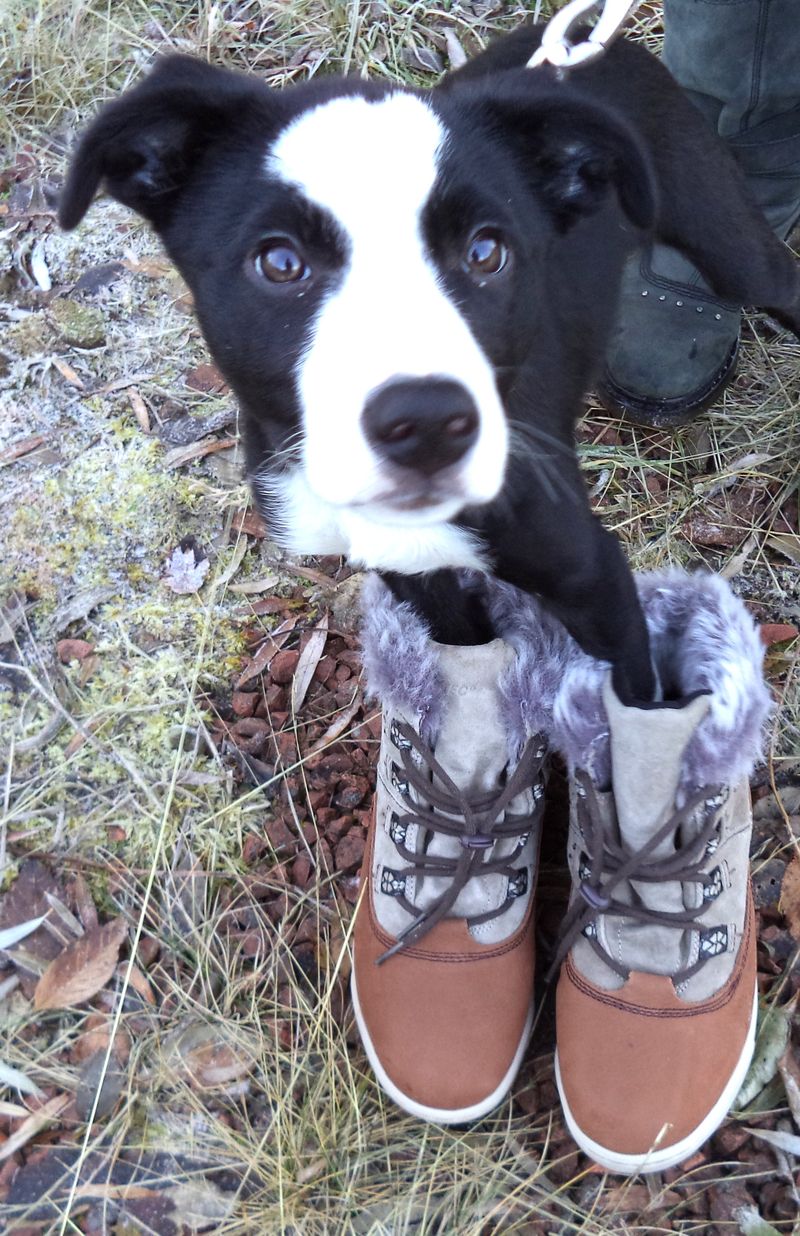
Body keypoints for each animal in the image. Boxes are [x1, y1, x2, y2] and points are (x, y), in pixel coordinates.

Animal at [57, 21, 800, 706]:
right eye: (280, 262)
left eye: (486, 252)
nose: (426, 423)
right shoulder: (417, 579)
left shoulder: (597, 580)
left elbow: (633, 712)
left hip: (724, 234)